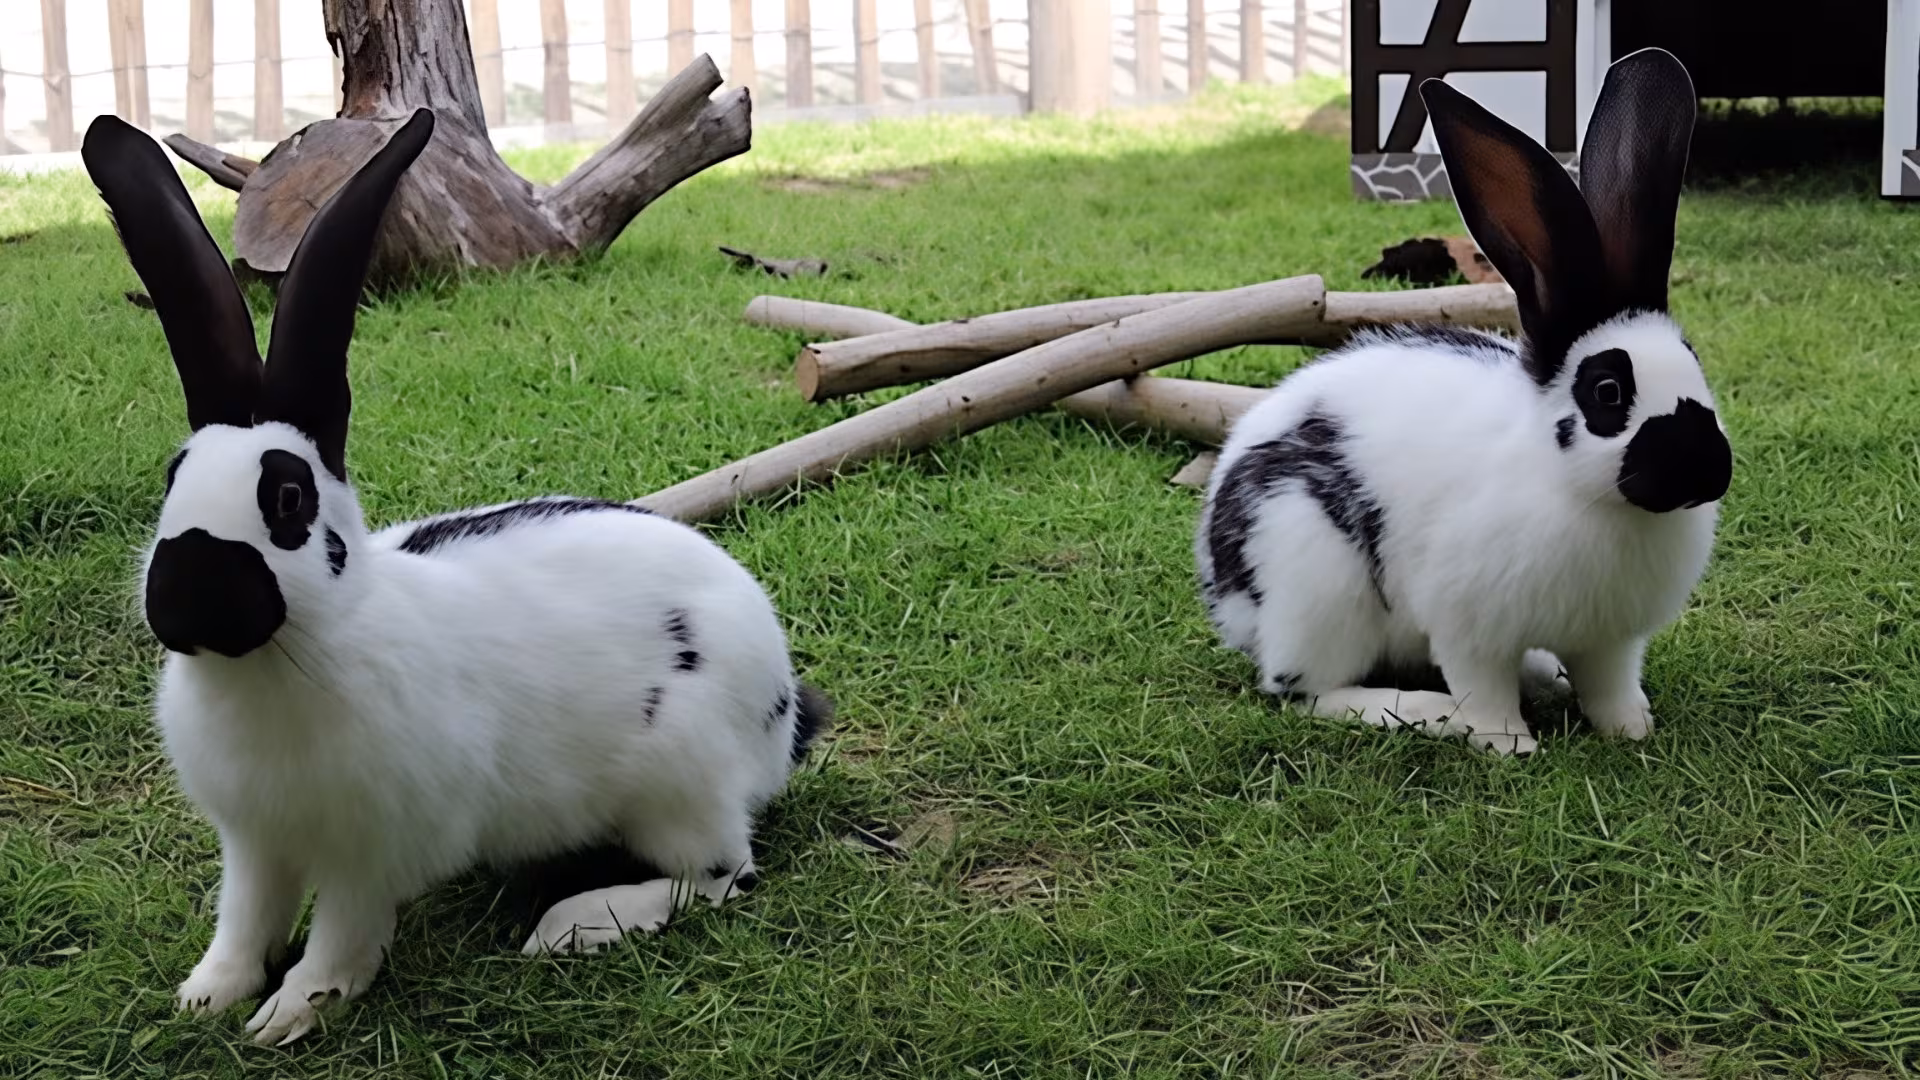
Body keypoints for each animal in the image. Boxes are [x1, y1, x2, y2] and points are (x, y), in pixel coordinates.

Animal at [81, 108, 830, 1047]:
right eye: (172, 479)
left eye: (287, 498)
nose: (181, 601)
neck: (285, 660)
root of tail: (784, 704)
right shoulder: (254, 845)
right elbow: (244, 923)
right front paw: (207, 996)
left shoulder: (369, 852)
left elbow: (340, 939)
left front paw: (289, 1016)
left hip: (679, 782)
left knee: (724, 875)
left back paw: (574, 925)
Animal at [1195, 48, 1731, 757]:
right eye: (1608, 391)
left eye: (1695, 364)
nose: (1709, 470)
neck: (1583, 494)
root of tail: (1226, 593)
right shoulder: (1466, 624)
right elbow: (1484, 689)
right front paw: (1510, 746)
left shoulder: (1611, 642)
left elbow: (1610, 686)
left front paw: (1630, 730)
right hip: (1315, 574)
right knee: (1306, 691)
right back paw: (1422, 711)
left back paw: (1545, 675)